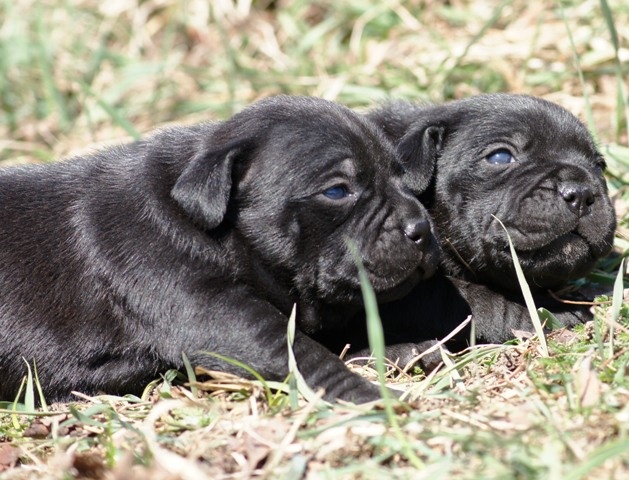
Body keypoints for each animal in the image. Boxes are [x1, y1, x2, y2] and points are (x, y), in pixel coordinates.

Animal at [0, 95, 436, 404]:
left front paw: (405, 350)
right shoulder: (213, 308)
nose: (421, 227)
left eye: (403, 178)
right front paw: (372, 397)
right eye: (337, 191)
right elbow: (302, 354)